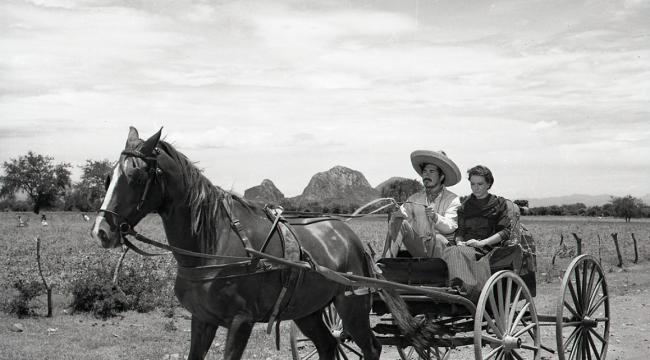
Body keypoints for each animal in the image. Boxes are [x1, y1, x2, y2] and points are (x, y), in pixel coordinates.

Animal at [89, 127, 382, 360]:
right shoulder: (202, 319)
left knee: (371, 348)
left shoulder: (241, 321)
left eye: (138, 177)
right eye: (108, 178)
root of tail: (349, 235)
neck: (212, 247)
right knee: (328, 345)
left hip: (351, 307)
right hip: (307, 310)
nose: (100, 231)